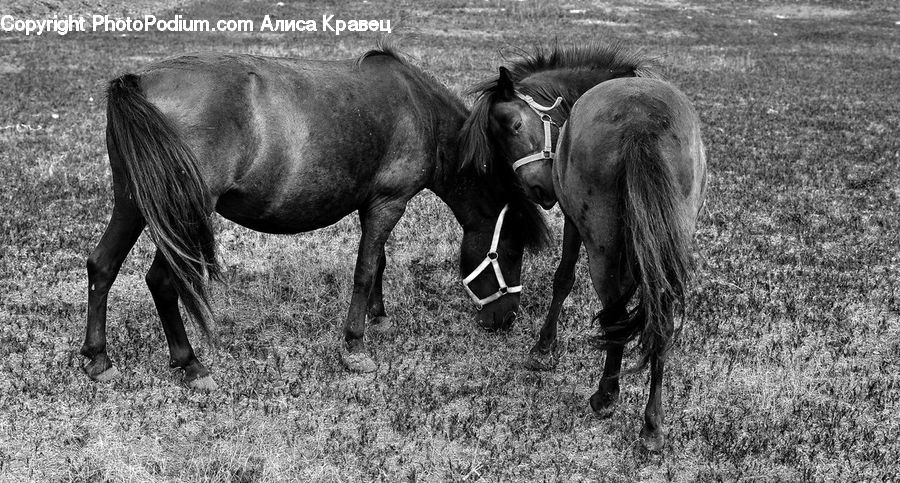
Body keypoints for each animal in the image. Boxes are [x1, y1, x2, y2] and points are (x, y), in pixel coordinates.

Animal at [83, 43, 548, 390]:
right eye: (509, 252)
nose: (505, 319)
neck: (419, 111)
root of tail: (140, 82)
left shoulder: (371, 205)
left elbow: (378, 262)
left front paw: (378, 318)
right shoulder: (388, 203)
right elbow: (364, 270)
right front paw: (355, 346)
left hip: (134, 204)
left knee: (102, 264)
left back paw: (98, 358)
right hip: (182, 215)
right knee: (162, 281)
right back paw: (191, 364)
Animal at [460, 45, 707, 451]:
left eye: (514, 125)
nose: (539, 189)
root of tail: (641, 123)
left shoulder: (575, 223)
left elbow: (563, 279)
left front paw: (543, 347)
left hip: (602, 246)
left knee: (617, 312)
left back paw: (608, 396)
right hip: (665, 245)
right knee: (658, 318)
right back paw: (650, 421)